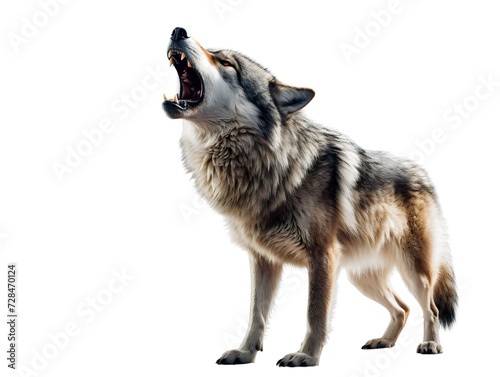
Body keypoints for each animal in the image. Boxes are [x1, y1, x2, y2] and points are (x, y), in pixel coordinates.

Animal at [163, 27, 458, 368]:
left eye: (226, 63)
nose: (178, 31)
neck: (272, 166)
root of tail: (424, 175)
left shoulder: (322, 257)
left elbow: (315, 314)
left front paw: (306, 356)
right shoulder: (262, 260)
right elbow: (256, 314)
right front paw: (246, 353)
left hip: (413, 273)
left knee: (430, 307)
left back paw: (431, 345)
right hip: (361, 278)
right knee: (402, 308)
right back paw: (383, 341)